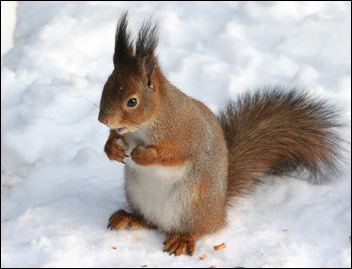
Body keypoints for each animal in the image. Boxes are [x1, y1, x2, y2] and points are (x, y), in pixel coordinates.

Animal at [98, 12, 344, 255]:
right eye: (105, 87)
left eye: (132, 101)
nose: (103, 119)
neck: (146, 124)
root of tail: (219, 211)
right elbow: (114, 138)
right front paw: (111, 148)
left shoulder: (186, 130)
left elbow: (177, 152)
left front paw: (144, 155)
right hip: (138, 195)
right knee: (150, 222)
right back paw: (130, 218)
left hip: (191, 206)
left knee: (196, 230)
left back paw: (182, 239)